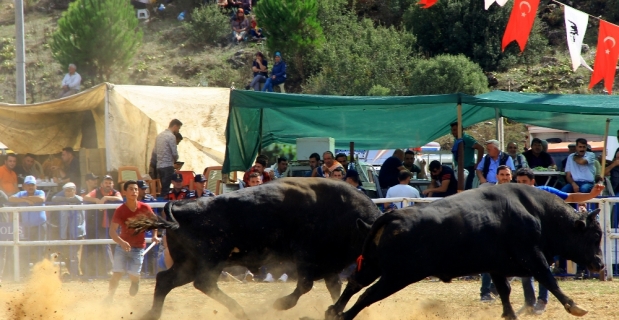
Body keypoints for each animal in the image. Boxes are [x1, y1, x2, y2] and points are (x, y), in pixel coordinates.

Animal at [128, 179, 380, 318]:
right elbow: (305, 286)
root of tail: (181, 205)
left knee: (165, 280)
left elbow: (335, 289)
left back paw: (151, 315)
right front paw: (280, 305)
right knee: (203, 283)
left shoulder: (329, 266)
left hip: (188, 264)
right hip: (211, 261)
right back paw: (242, 312)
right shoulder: (306, 257)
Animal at [330, 184, 604, 318]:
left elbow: (505, 292)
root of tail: (393, 215)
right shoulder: (532, 257)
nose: (600, 264)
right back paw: (341, 316)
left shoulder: (496, 267)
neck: (535, 212)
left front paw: (509, 315)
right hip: (397, 276)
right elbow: (549, 280)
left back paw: (332, 311)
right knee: (366, 295)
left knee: (354, 284)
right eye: (595, 236)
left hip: (374, 266)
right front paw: (575, 306)